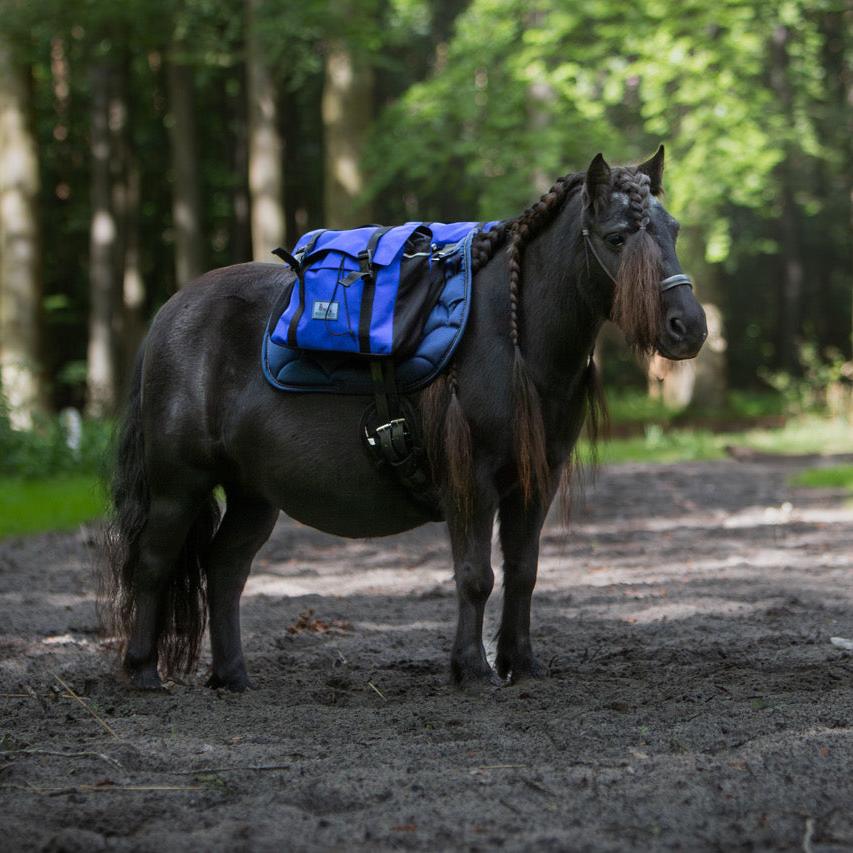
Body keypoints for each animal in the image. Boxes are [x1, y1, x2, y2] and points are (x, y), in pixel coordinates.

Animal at [100, 148, 704, 692]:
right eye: (618, 237)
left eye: (672, 230)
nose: (689, 328)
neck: (511, 338)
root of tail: (169, 314)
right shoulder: (474, 482)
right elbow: (476, 577)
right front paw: (473, 670)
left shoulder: (536, 482)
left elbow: (523, 572)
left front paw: (521, 664)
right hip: (179, 485)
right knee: (153, 563)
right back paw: (143, 674)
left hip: (252, 493)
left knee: (224, 569)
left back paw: (233, 677)